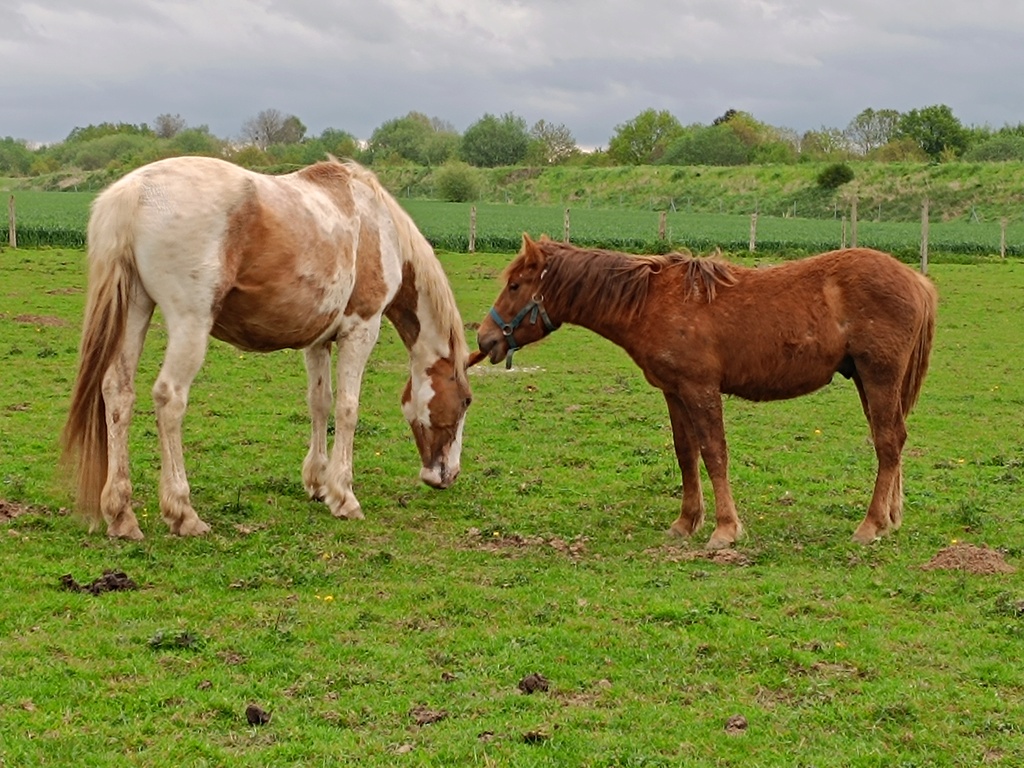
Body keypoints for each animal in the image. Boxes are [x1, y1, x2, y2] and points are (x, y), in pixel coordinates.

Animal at [66, 156, 473, 540]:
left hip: (134, 309)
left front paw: (317, 483)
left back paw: (121, 515)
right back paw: (183, 513)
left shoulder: (318, 341)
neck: (379, 226)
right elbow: (347, 409)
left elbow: (320, 403)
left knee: (118, 394)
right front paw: (343, 496)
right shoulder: (361, 331)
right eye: (466, 401)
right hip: (189, 323)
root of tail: (135, 192)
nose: (447, 475)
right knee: (169, 399)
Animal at [479, 234, 937, 548]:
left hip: (878, 377)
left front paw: (725, 529)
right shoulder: (674, 392)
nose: (485, 338)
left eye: (516, 285)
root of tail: (916, 279)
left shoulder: (701, 390)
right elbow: (687, 455)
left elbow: (715, 454)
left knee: (888, 442)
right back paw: (890, 517)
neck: (650, 302)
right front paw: (686, 522)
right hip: (866, 380)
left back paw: (871, 525)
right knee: (891, 441)